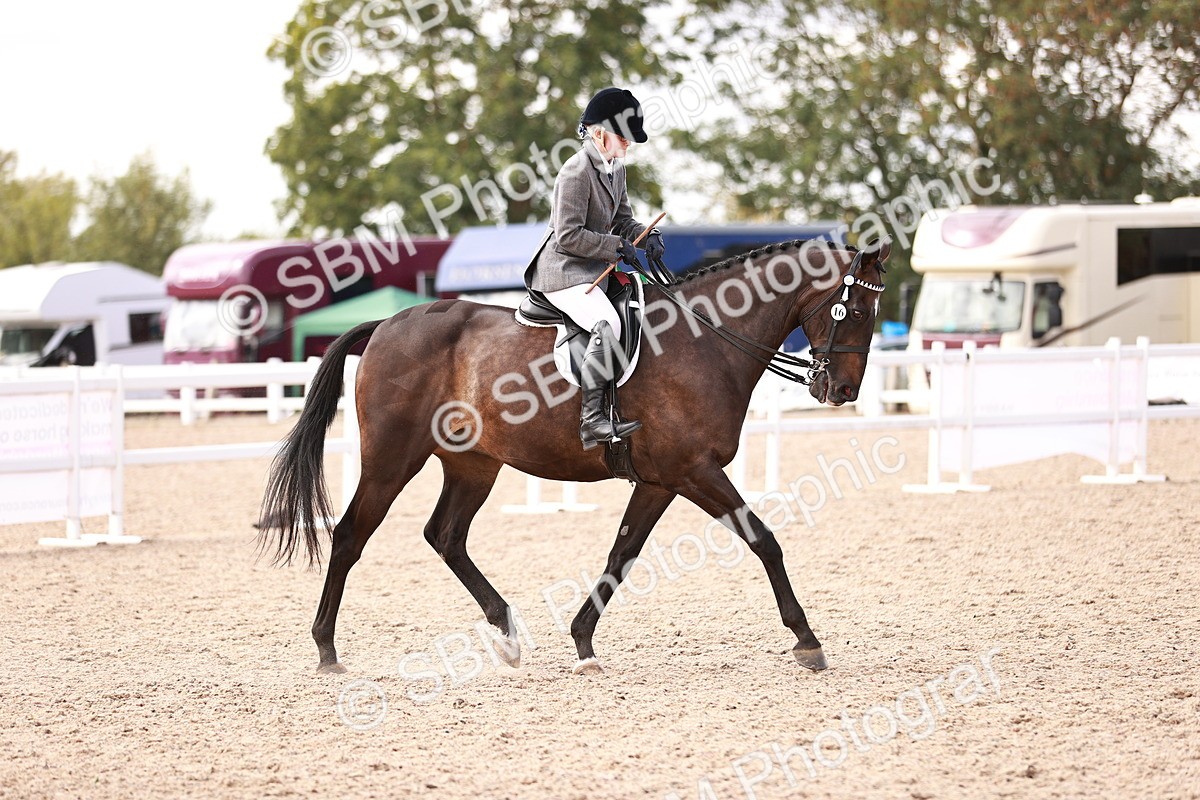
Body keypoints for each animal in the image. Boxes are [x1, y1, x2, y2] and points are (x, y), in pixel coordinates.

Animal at [258, 237, 891, 675]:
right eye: (857, 312)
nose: (842, 391)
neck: (706, 341)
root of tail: (388, 323)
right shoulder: (694, 471)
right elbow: (764, 540)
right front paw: (807, 642)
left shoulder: (661, 480)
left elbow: (622, 553)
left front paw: (583, 641)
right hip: (392, 459)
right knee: (350, 535)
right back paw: (326, 649)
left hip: (474, 464)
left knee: (445, 536)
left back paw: (507, 634)